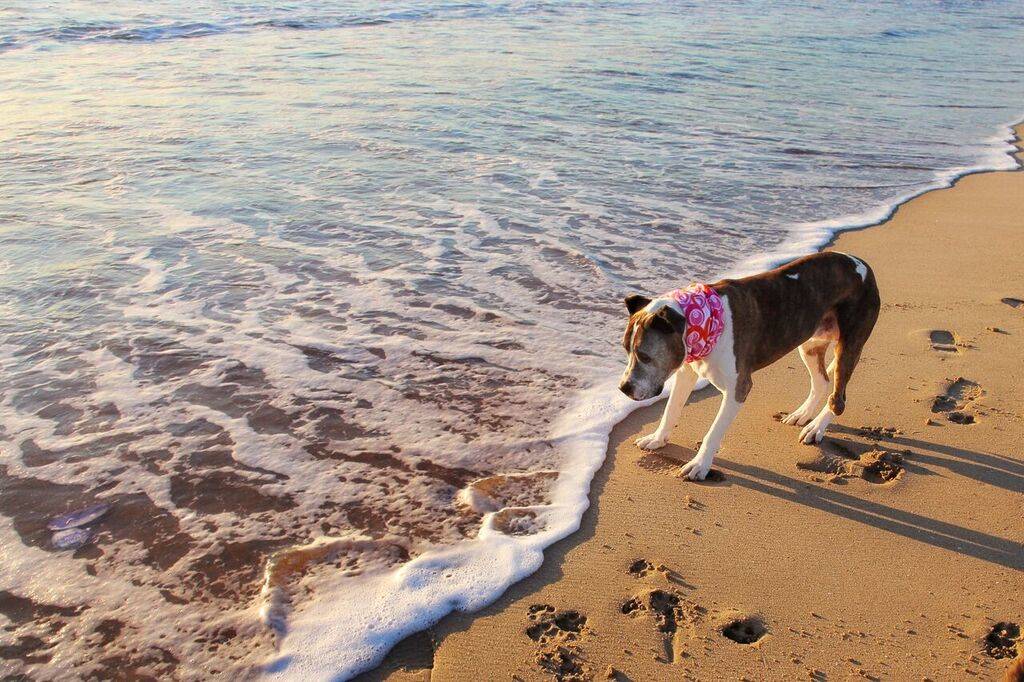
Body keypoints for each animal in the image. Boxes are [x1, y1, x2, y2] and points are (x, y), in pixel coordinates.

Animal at [619, 251, 880, 480]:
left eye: (645, 356)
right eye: (626, 350)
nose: (623, 388)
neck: (705, 321)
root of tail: (864, 266)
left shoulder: (738, 389)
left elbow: (713, 432)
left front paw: (699, 465)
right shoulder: (685, 372)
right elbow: (670, 409)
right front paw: (658, 438)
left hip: (848, 346)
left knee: (838, 400)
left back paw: (816, 427)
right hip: (810, 346)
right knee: (822, 383)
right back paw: (803, 415)